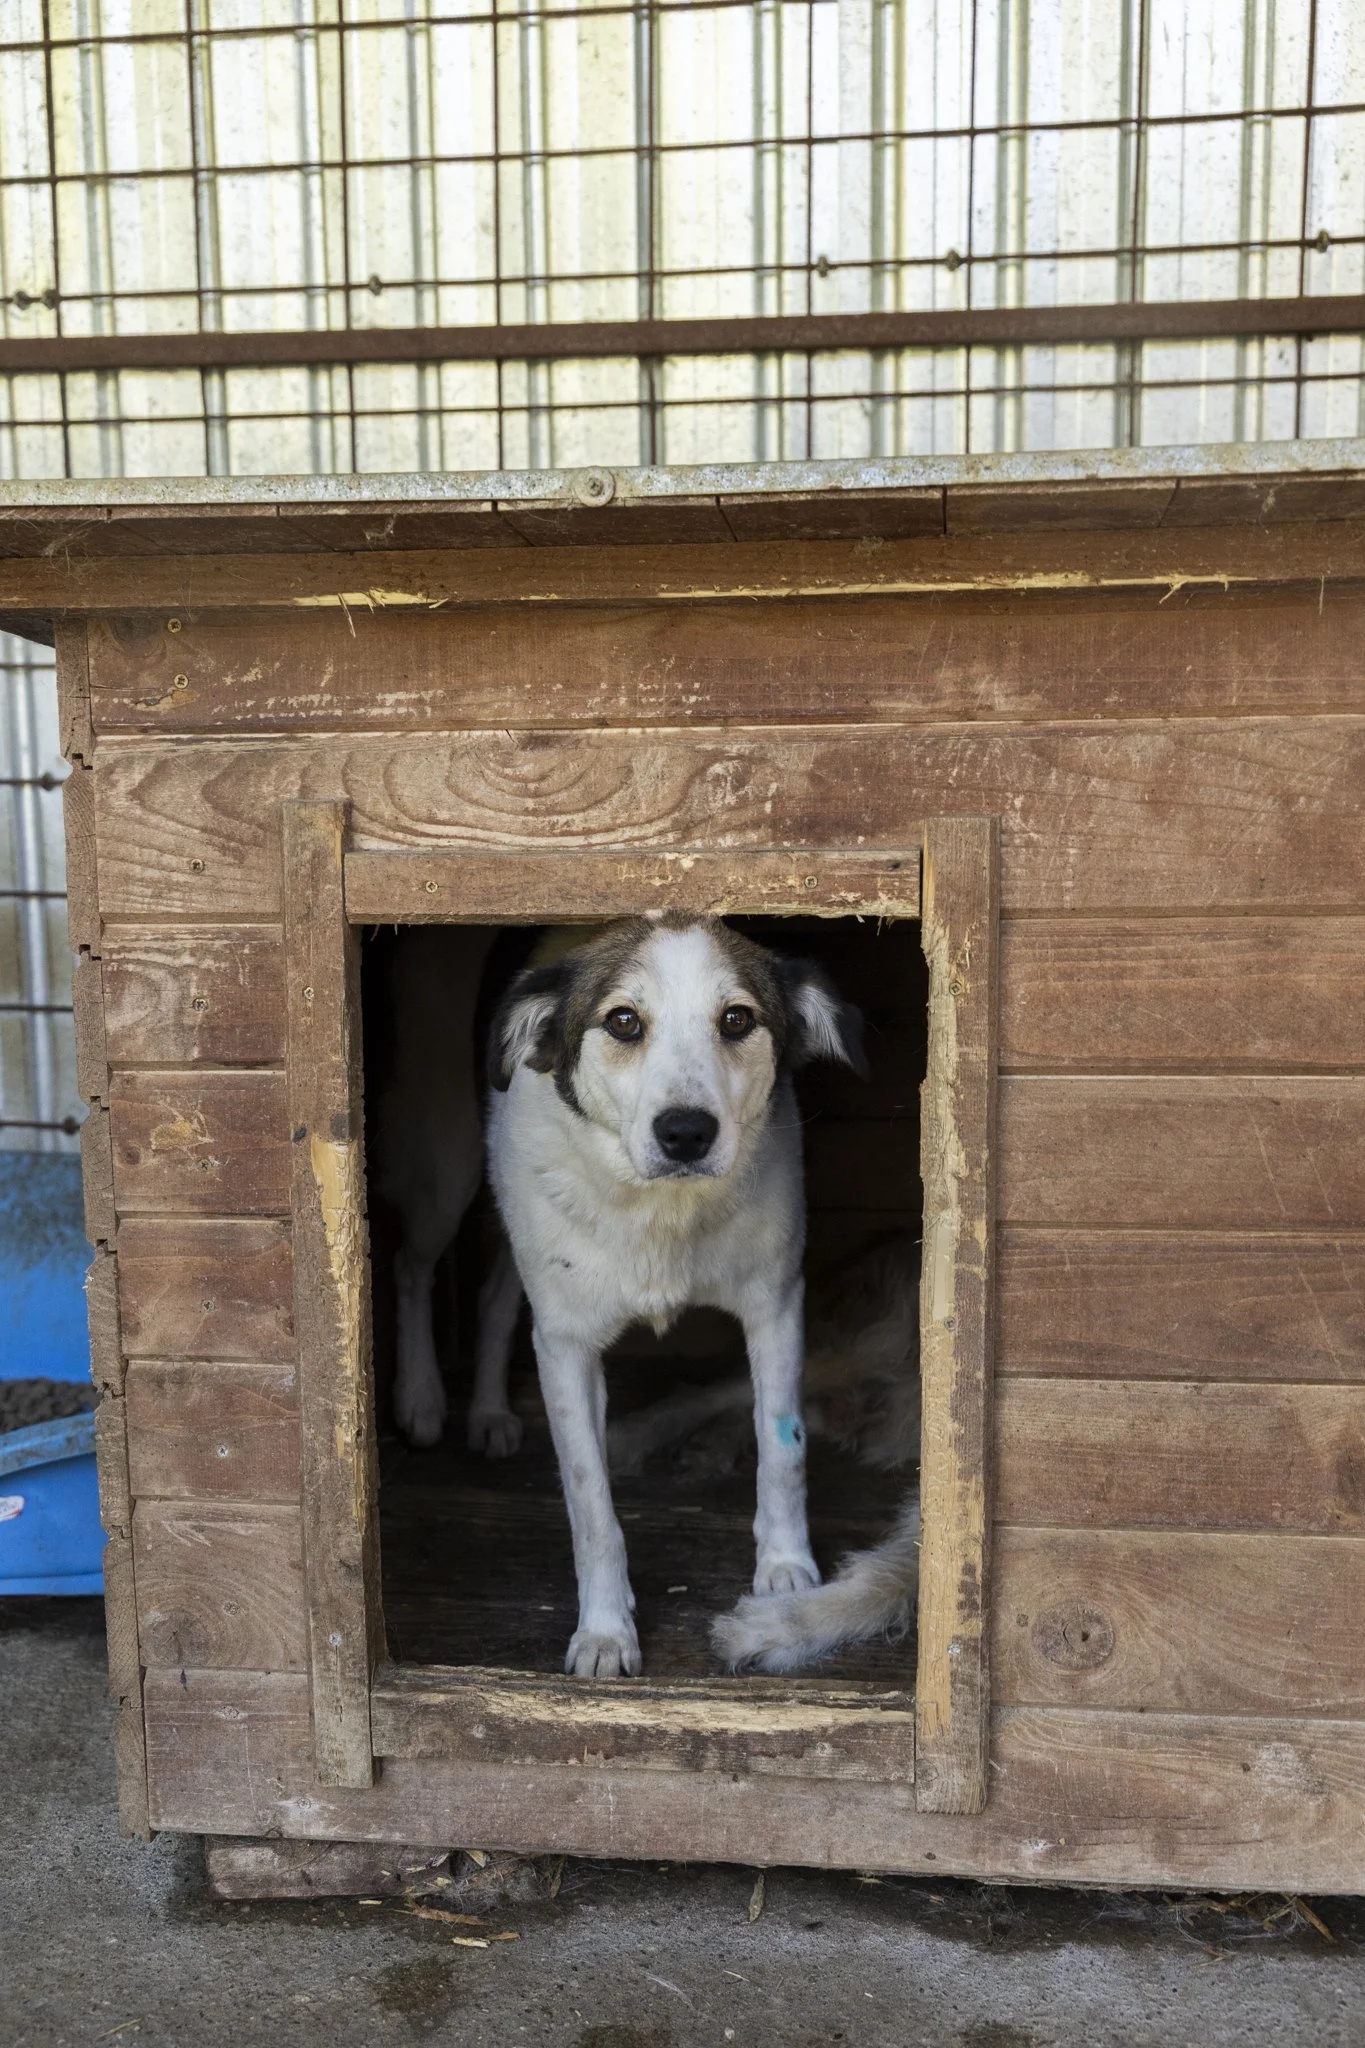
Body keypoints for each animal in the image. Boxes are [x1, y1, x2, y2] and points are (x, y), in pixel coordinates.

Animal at [486, 912, 866, 1678]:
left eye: (737, 1019)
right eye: (623, 1021)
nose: (686, 1132)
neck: (659, 1212)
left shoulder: (776, 1303)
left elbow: (783, 1446)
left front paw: (786, 1571)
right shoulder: (564, 1344)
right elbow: (591, 1505)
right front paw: (605, 1631)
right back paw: (476, 1410)